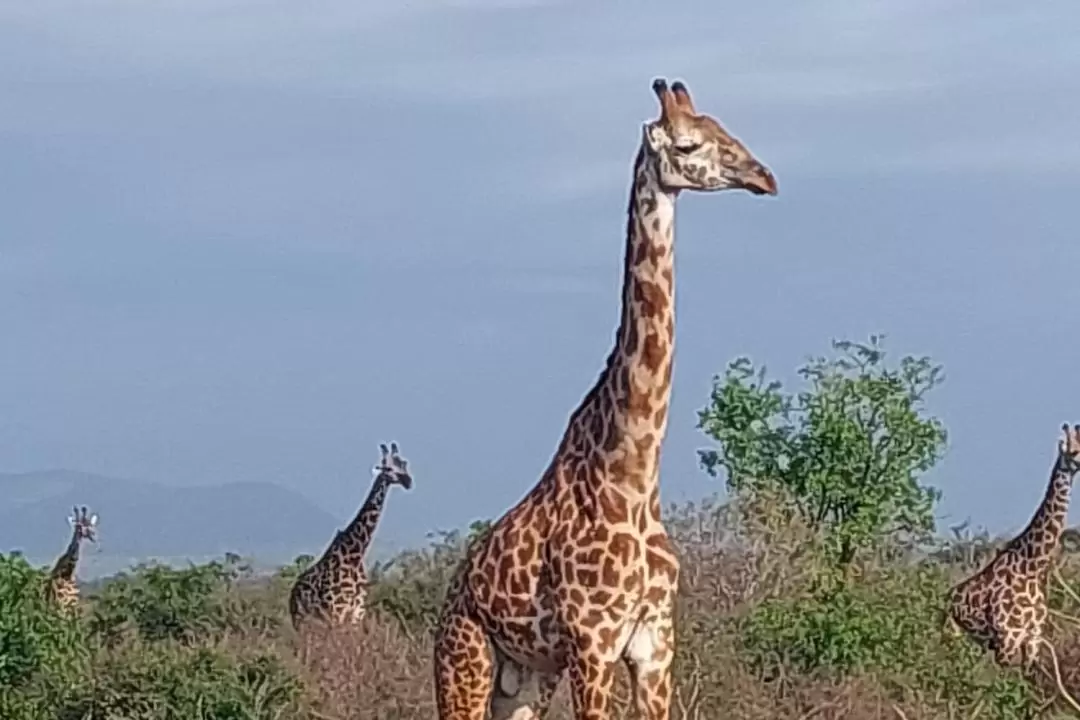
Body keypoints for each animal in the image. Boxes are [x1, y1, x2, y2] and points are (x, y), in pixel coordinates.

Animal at [287, 442, 412, 626]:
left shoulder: (357, 612)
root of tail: (292, 593)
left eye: (404, 464)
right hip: (302, 620)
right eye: (388, 468)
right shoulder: (336, 611)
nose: (408, 481)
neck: (355, 555)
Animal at [434, 77, 781, 720]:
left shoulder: (654, 644)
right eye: (690, 145)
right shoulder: (591, 645)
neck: (634, 476)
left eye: (725, 129)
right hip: (464, 659)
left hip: (525, 678)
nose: (763, 176)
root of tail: (452, 590)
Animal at [946, 425, 1080, 669]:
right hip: (952, 633)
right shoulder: (1007, 640)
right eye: (1073, 451)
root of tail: (944, 600)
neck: (1033, 566)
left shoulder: (1033, 638)